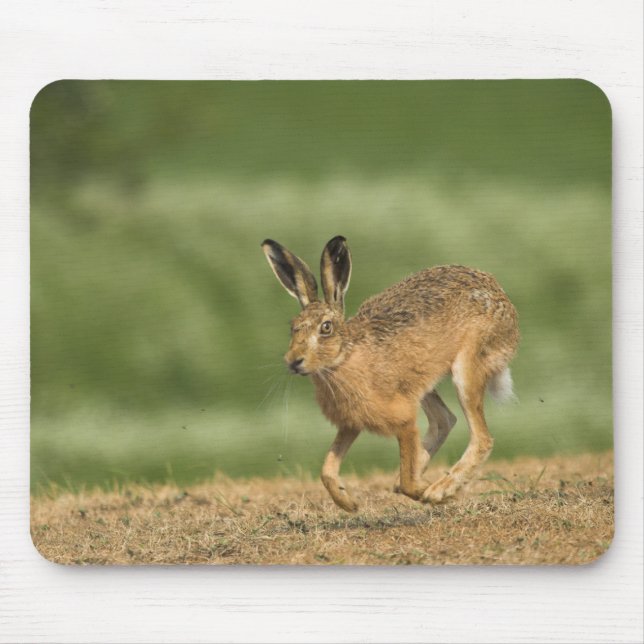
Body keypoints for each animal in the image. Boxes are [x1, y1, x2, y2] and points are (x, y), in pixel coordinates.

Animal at [261, 236, 519, 512]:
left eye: (326, 328)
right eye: (293, 328)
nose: (293, 361)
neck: (346, 356)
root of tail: (502, 297)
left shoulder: (404, 420)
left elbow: (408, 479)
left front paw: (426, 491)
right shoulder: (351, 424)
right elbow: (327, 470)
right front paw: (348, 503)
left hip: (467, 368)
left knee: (481, 438)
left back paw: (440, 489)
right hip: (422, 382)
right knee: (445, 420)